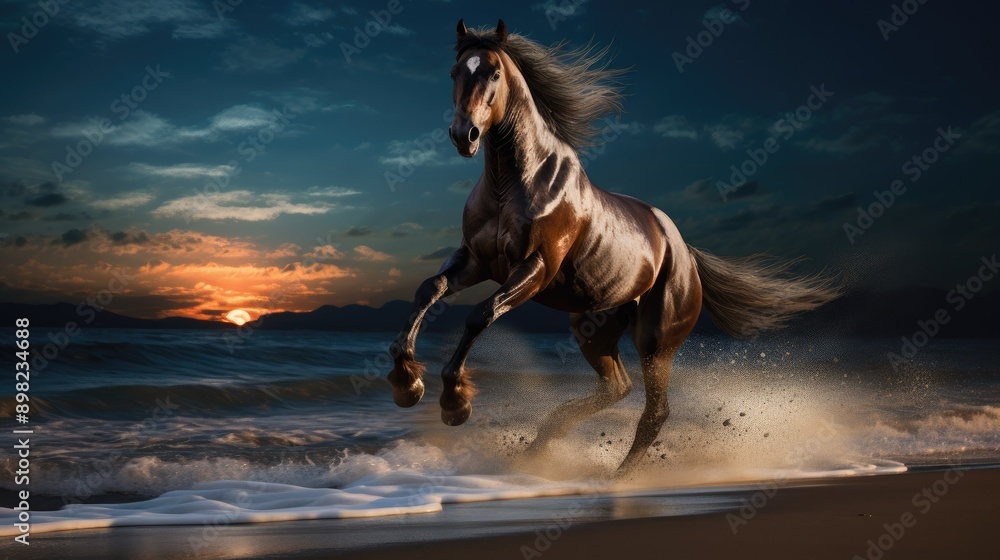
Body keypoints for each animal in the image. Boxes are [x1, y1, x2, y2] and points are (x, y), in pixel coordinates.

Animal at [386, 19, 840, 472]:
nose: (464, 135)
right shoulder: (476, 260)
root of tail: (686, 255)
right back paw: (540, 446)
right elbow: (429, 289)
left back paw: (615, 477)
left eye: (494, 73)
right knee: (617, 388)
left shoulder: (535, 268)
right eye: (454, 72)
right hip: (593, 330)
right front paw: (407, 382)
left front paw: (453, 403)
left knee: (654, 411)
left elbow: (480, 315)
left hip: (656, 342)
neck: (513, 182)